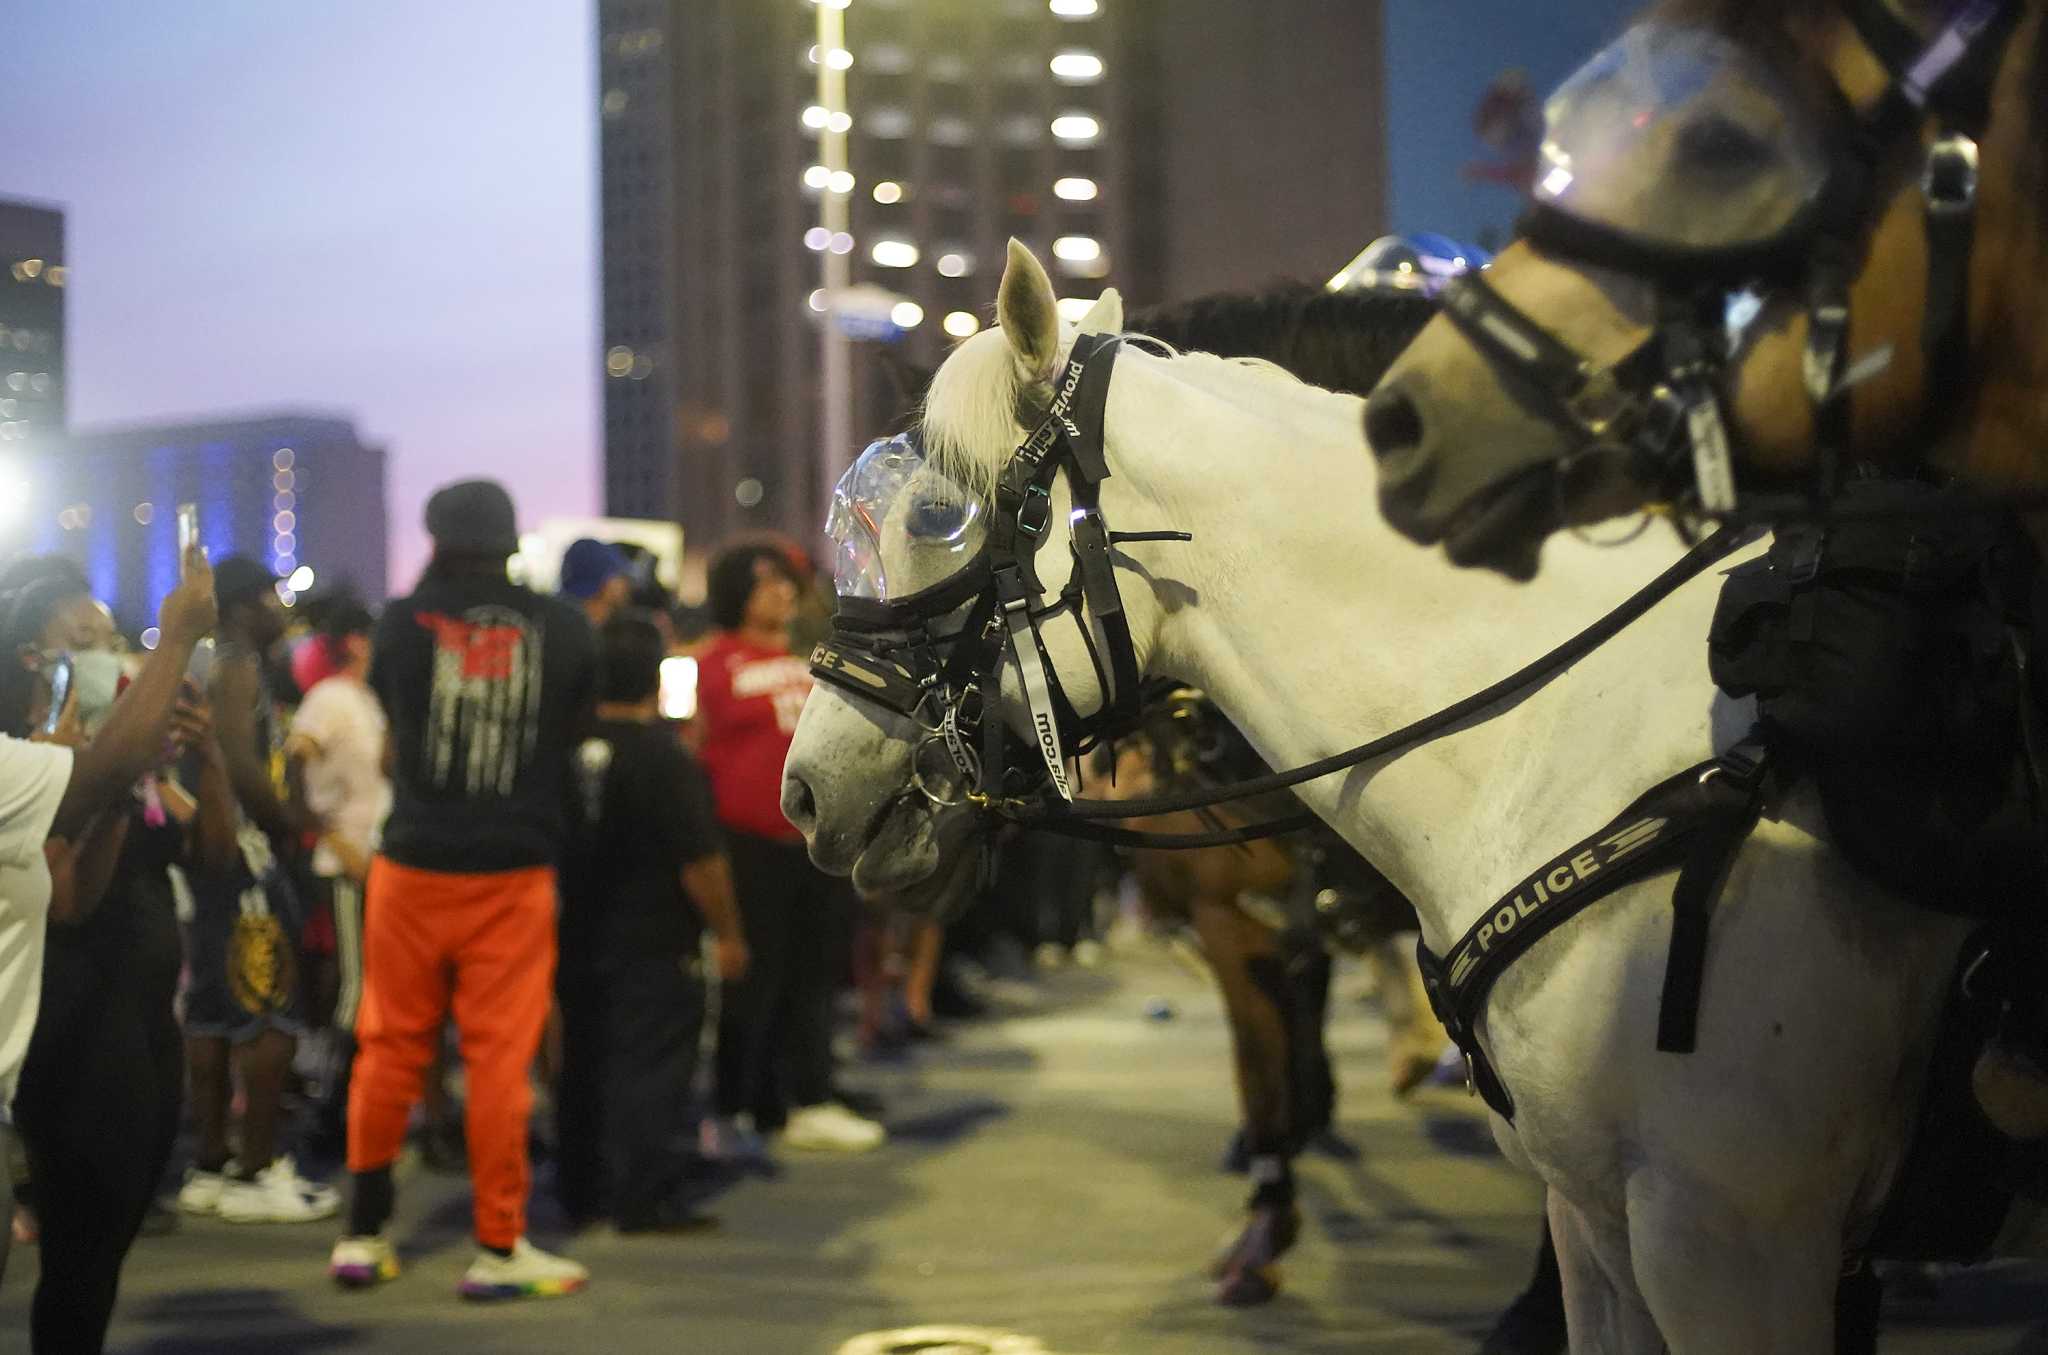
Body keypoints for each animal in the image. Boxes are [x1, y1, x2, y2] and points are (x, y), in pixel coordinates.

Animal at [778, 238, 2031, 1350]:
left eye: (934, 517)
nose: (803, 790)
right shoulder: (1605, 1220)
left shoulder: (1727, 1238)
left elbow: (1270, 1080)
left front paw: (1263, 1230)